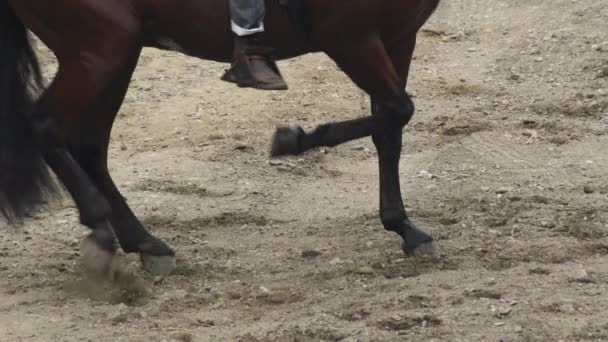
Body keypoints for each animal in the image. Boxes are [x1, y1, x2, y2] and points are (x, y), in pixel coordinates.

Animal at [0, 0, 436, 278]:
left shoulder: (398, 36)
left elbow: (390, 128)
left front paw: (405, 228)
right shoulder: (350, 38)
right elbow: (398, 111)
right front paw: (291, 139)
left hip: (113, 52)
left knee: (88, 143)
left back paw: (144, 243)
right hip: (100, 47)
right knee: (45, 126)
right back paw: (102, 231)